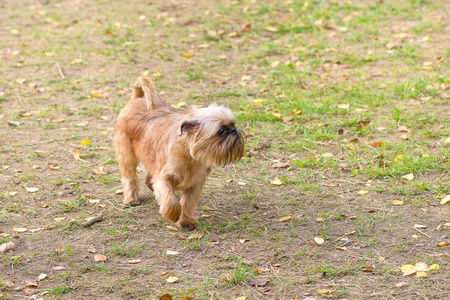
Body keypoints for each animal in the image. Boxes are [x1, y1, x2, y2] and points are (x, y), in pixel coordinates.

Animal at [114, 76, 244, 229]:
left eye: (233, 124)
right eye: (221, 131)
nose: (234, 130)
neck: (190, 156)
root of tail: (137, 97)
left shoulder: (195, 184)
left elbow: (187, 204)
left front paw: (185, 221)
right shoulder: (163, 179)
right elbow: (170, 201)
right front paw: (173, 215)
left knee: (147, 173)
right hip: (127, 155)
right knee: (129, 177)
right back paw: (131, 199)